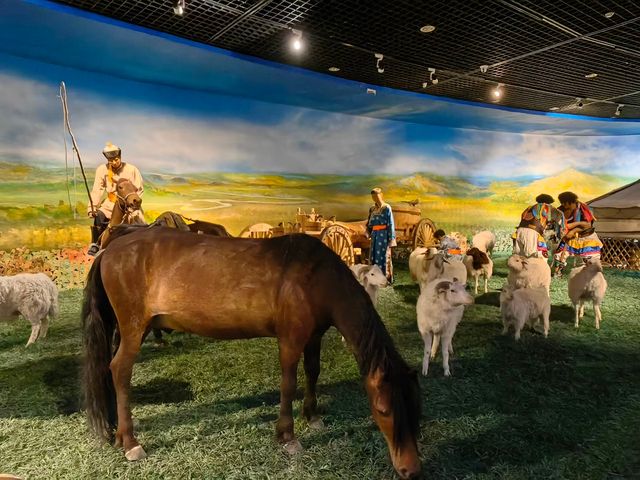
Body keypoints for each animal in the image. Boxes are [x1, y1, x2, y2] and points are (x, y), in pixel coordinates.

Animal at [82, 227, 422, 478]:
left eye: (415, 407)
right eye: (383, 410)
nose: (411, 469)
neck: (316, 277)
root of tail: (108, 251)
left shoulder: (315, 335)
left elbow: (313, 371)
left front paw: (312, 416)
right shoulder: (291, 339)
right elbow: (288, 383)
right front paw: (287, 436)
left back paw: (117, 434)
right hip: (133, 327)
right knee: (120, 370)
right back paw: (131, 442)